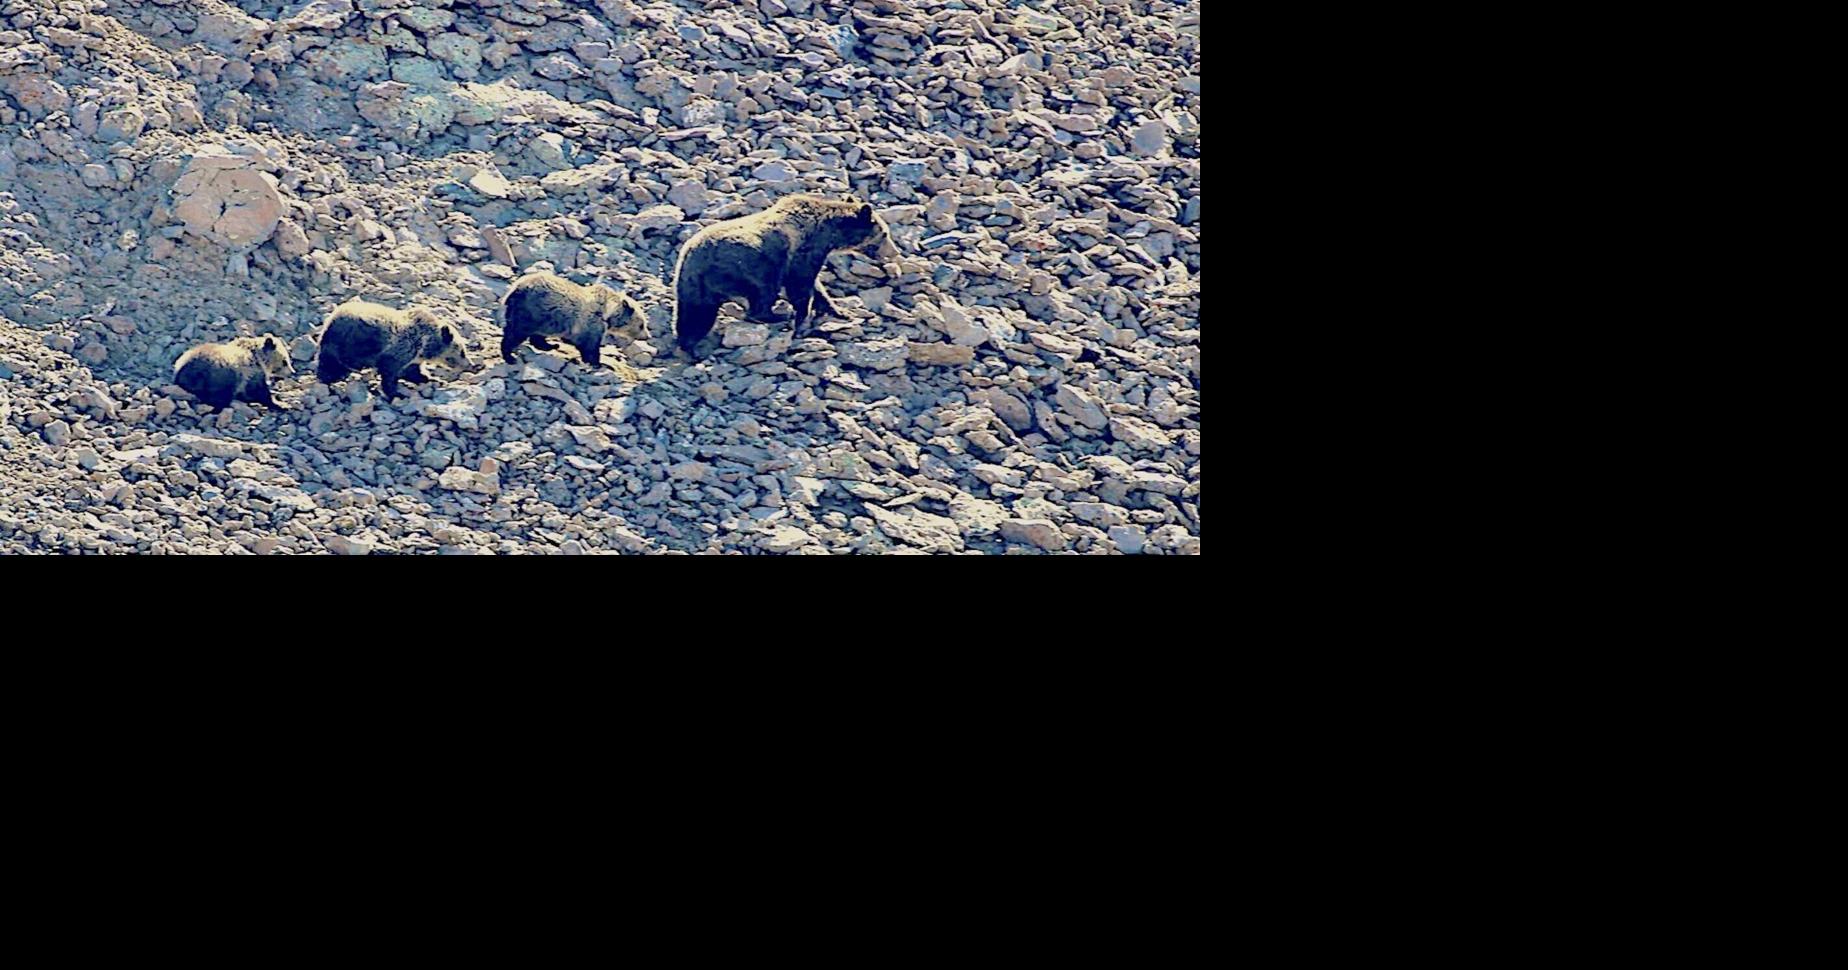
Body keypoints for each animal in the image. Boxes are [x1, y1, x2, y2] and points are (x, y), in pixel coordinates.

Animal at [315, 299, 471, 401]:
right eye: (462, 351)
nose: (470, 364)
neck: (424, 344)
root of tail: (329, 321)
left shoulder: (412, 359)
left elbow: (413, 372)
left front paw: (434, 379)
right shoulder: (399, 351)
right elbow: (389, 373)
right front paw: (396, 394)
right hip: (343, 343)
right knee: (330, 364)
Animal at [498, 271, 647, 367]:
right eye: (641, 325)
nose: (647, 336)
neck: (608, 314)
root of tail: (515, 289)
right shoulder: (591, 324)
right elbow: (589, 345)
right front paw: (596, 363)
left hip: (544, 318)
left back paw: (550, 345)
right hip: (531, 311)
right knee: (516, 333)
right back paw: (509, 356)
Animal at [670, 194, 898, 357]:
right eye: (885, 233)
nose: (894, 252)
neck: (830, 233)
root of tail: (692, 257)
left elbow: (815, 286)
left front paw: (840, 311)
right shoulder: (805, 250)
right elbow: (801, 285)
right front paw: (802, 321)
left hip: (693, 286)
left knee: (696, 315)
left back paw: (688, 345)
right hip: (752, 263)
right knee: (763, 291)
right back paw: (775, 315)